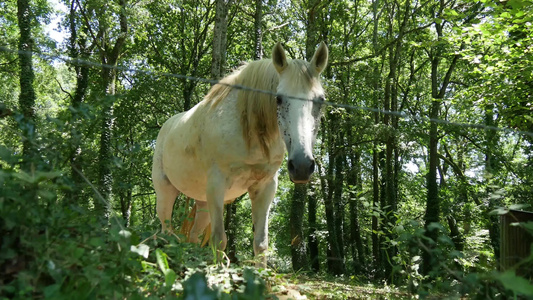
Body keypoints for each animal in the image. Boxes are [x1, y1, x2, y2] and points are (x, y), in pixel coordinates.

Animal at [151, 41, 328, 266]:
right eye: (278, 99)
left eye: (321, 100)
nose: (302, 166)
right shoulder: (217, 185)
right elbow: (219, 240)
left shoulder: (265, 187)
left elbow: (261, 243)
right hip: (166, 193)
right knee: (167, 232)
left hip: (203, 203)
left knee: (192, 236)